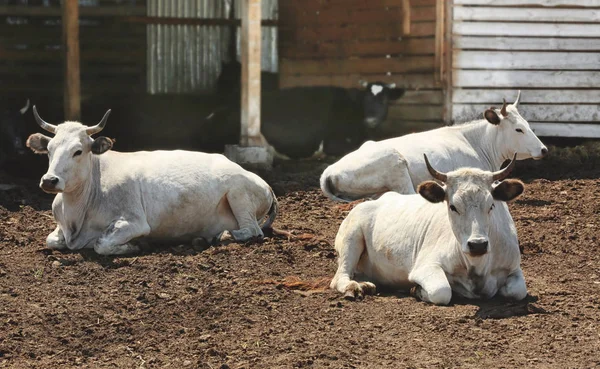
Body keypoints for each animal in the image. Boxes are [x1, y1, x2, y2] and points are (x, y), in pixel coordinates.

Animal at [27, 106, 278, 254]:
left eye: (78, 151)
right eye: (49, 149)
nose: (49, 180)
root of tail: (265, 184)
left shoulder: (135, 222)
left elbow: (101, 244)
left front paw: (135, 245)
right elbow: (51, 240)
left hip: (239, 195)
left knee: (252, 230)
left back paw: (224, 235)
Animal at [330, 154, 528, 304]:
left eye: (491, 205)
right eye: (453, 207)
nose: (477, 245)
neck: (477, 265)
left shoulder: (513, 267)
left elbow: (518, 291)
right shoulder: (426, 266)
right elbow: (442, 291)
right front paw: (416, 290)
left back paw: (365, 284)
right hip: (351, 238)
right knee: (340, 276)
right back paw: (355, 287)